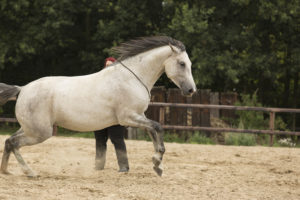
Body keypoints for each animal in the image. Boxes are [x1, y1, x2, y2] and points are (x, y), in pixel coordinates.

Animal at [0, 36, 196, 177]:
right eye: (182, 63)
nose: (191, 90)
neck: (131, 78)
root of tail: (22, 89)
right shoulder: (129, 117)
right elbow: (157, 127)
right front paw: (157, 162)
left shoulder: (139, 116)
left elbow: (153, 131)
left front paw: (158, 166)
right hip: (40, 132)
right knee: (14, 143)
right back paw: (29, 172)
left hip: (30, 128)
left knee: (9, 141)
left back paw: (6, 171)